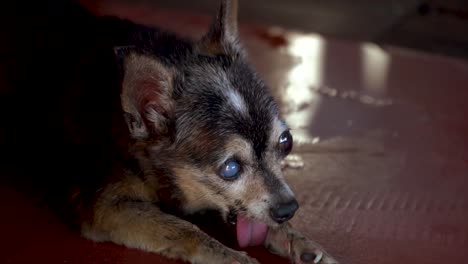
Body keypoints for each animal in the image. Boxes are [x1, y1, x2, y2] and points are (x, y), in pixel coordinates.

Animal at [0, 0, 336, 264]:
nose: (289, 209)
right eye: (230, 168)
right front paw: (233, 257)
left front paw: (297, 240)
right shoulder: (104, 207)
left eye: (286, 142)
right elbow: (183, 228)